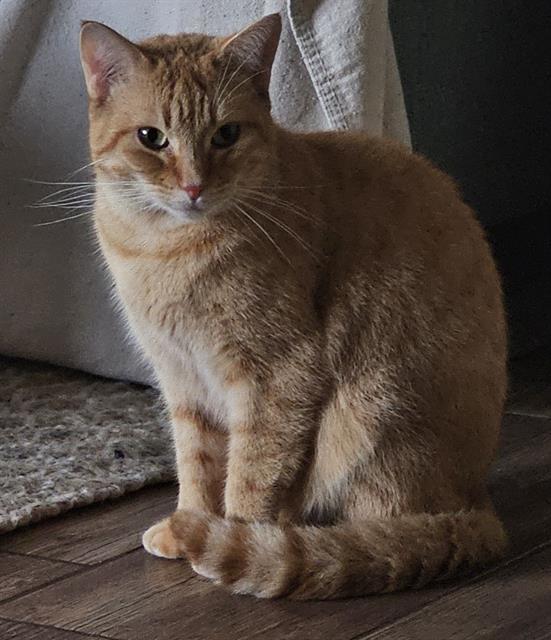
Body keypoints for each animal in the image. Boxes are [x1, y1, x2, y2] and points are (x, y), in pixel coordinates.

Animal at [78, 12, 508, 596]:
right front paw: (191, 520)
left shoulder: (278, 375)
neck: (162, 250)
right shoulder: (183, 378)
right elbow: (197, 461)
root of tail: (476, 503)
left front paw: (234, 536)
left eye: (226, 134)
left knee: (380, 524)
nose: (193, 187)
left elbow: (251, 472)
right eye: (151, 138)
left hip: (370, 408)